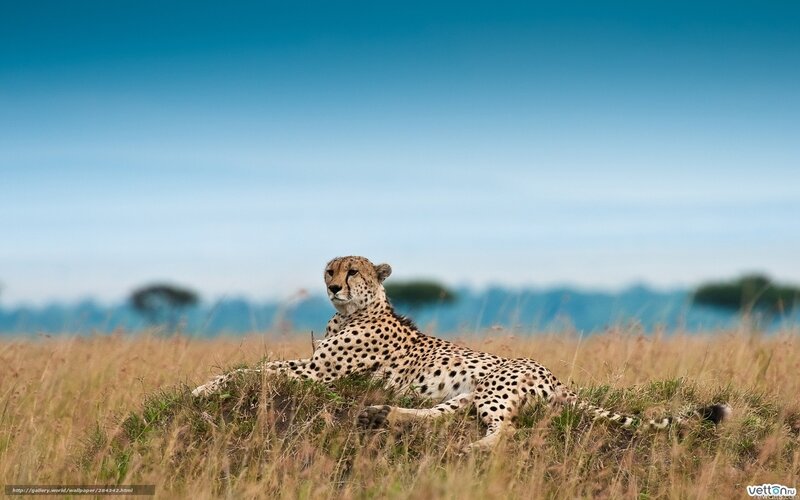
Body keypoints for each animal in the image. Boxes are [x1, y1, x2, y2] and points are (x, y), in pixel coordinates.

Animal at [192, 255, 731, 451]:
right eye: (330, 269)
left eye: (353, 271)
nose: (331, 286)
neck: (353, 312)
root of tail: (556, 377)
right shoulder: (314, 366)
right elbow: (257, 366)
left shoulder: (317, 372)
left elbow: (255, 369)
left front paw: (203, 387)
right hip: (468, 393)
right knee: (443, 415)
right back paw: (383, 414)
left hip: (492, 388)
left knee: (504, 429)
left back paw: (470, 448)